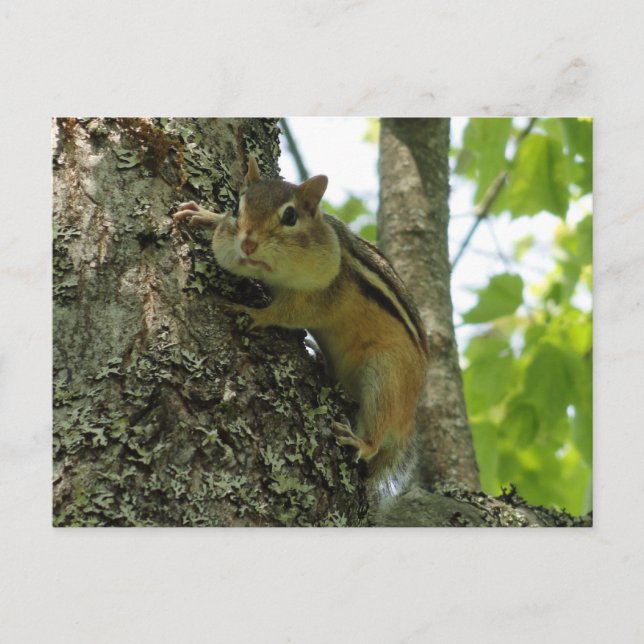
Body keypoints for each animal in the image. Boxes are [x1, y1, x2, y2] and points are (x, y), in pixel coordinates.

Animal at [173, 157, 429, 500]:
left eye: (290, 216)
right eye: (235, 207)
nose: (248, 244)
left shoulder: (318, 296)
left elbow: (287, 312)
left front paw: (251, 312)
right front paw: (206, 215)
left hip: (387, 377)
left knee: (377, 435)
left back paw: (360, 441)